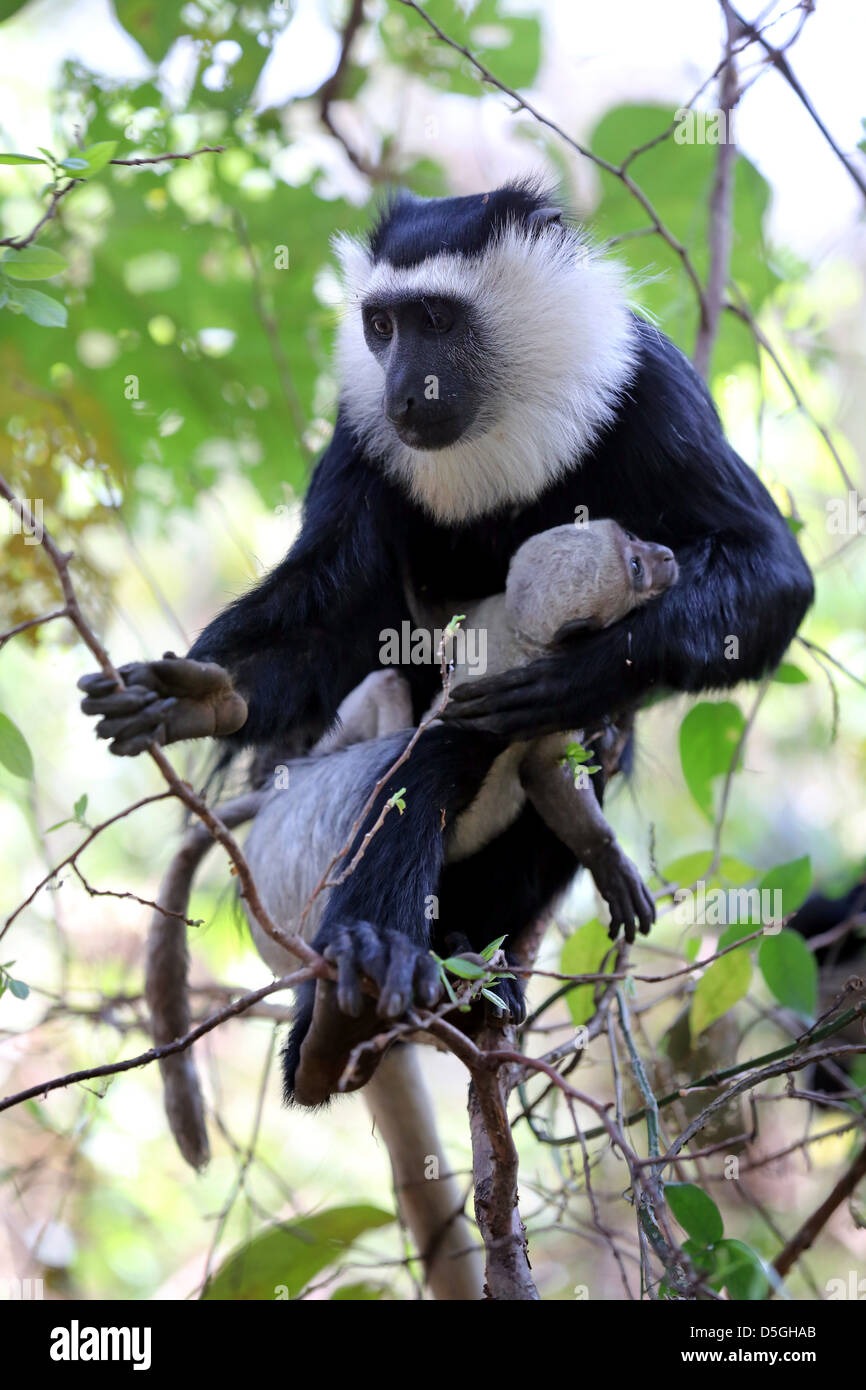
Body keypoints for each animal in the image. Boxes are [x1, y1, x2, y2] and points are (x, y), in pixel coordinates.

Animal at [77, 182, 817, 1106]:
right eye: (381, 326)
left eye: (436, 318)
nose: (404, 393)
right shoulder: (362, 435)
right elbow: (334, 621)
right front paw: (200, 698)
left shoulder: (650, 388)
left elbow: (773, 573)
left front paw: (576, 679)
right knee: (415, 763)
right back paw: (364, 984)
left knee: (512, 758)